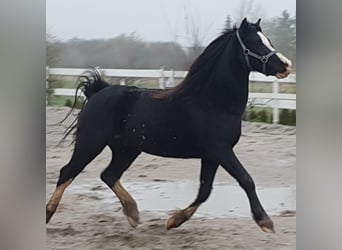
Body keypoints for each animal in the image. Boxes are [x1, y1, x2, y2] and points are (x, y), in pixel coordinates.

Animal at [45, 18, 292, 233]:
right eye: (254, 43)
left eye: (268, 39)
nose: (286, 66)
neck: (212, 101)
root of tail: (98, 92)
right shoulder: (221, 151)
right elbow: (246, 180)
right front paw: (265, 222)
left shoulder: (211, 155)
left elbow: (204, 191)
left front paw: (174, 221)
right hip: (90, 143)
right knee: (68, 172)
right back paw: (49, 214)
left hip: (127, 150)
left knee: (109, 175)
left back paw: (133, 214)